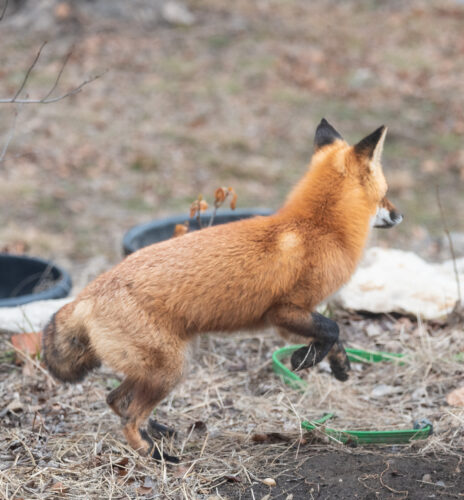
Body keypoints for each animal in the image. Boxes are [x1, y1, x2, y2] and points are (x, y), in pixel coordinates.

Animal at [43, 120, 402, 460]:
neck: (318, 227)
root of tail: (86, 295)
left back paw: (155, 432)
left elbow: (334, 337)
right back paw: (155, 455)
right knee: (129, 416)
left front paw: (338, 366)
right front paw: (306, 359)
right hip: (169, 370)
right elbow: (332, 328)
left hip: (158, 368)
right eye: (386, 191)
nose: (399, 215)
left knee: (115, 400)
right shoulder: (285, 311)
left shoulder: (296, 317)